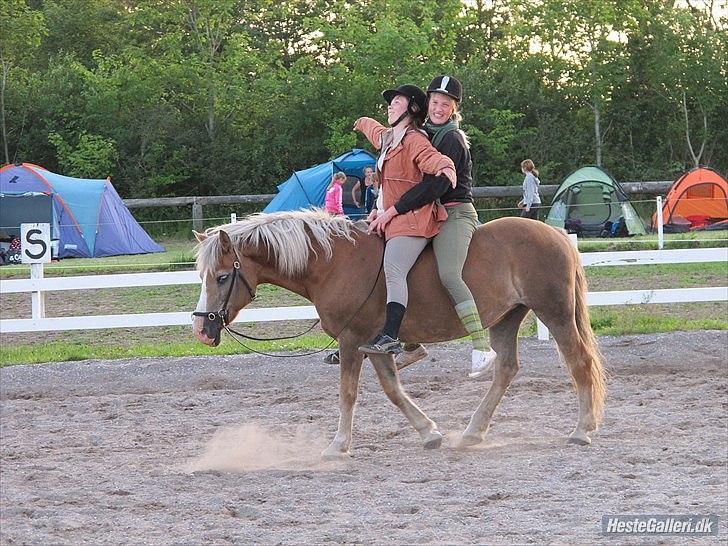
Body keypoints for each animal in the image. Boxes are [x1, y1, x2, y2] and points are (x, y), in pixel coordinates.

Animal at [191, 208, 604, 454]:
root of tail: (557, 234)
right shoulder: (373, 344)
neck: (333, 264)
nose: (202, 328)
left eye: (222, 276)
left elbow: (349, 392)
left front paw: (338, 444)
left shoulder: (353, 340)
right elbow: (392, 390)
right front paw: (429, 432)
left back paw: (582, 430)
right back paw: (473, 431)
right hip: (507, 317)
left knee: (579, 363)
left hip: (554, 311)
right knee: (505, 369)